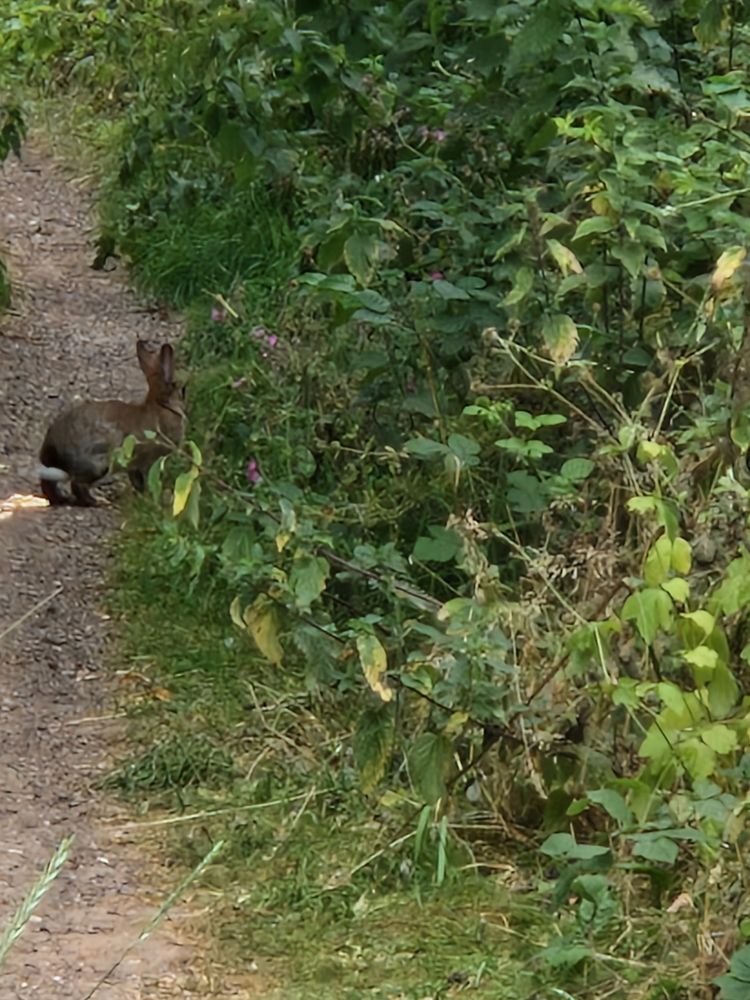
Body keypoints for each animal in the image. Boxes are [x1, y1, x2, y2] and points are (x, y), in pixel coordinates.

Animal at [38, 339, 185, 507]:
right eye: (182, 390)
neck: (162, 405)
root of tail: (53, 454)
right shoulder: (147, 461)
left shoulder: (134, 467)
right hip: (101, 460)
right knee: (78, 484)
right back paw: (100, 502)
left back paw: (63, 499)